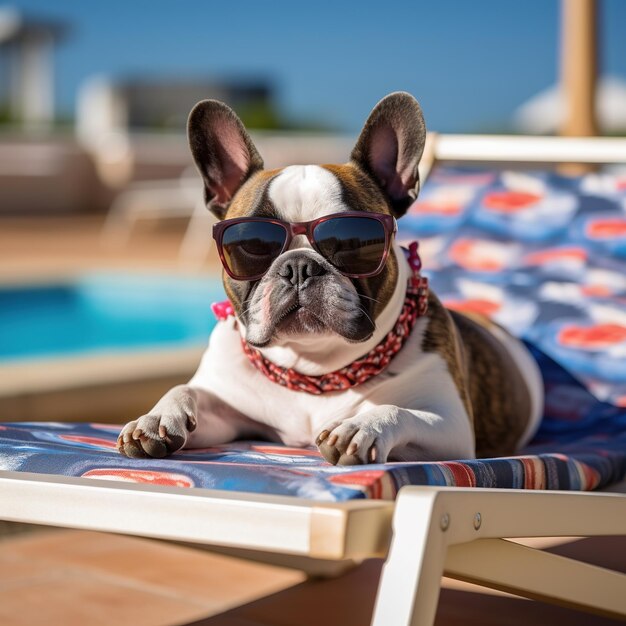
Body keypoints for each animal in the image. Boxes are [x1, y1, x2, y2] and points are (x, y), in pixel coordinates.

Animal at [117, 91, 540, 464]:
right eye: (251, 244)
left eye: (352, 241)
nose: (298, 266)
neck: (315, 372)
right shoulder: (228, 415)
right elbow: (186, 388)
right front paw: (157, 417)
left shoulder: (451, 425)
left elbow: (396, 409)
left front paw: (360, 427)